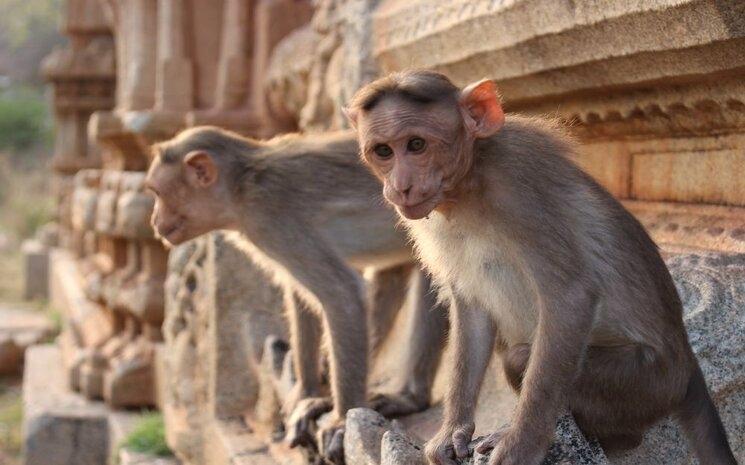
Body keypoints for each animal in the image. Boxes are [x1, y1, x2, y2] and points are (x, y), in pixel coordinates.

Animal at [146, 125, 448, 462]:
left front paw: (342, 421)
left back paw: (409, 397)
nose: (155, 221)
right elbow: (301, 296)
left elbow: (341, 294)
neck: (241, 186)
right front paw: (307, 391)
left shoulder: (269, 219)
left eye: (157, 193)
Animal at [344, 70, 740, 464]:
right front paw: (452, 431)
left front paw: (521, 444)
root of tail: (686, 363)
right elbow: (472, 313)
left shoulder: (520, 192)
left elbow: (569, 297)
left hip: (643, 382)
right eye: (383, 151)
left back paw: (614, 439)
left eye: (416, 145)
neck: (468, 186)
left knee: (523, 358)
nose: (400, 187)